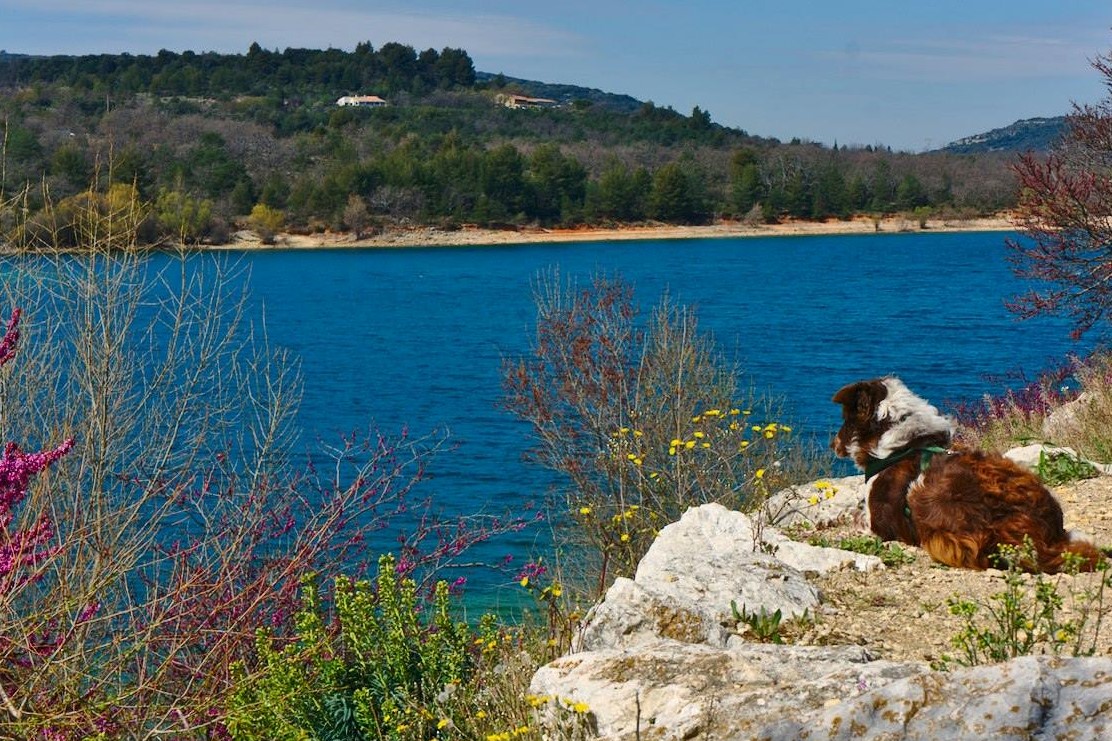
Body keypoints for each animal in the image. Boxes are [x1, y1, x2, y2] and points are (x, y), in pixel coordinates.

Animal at [831, 376, 1098, 569]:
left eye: (845, 419)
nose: (833, 443)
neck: (904, 444)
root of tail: (1044, 538)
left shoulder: (880, 524)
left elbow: (855, 516)